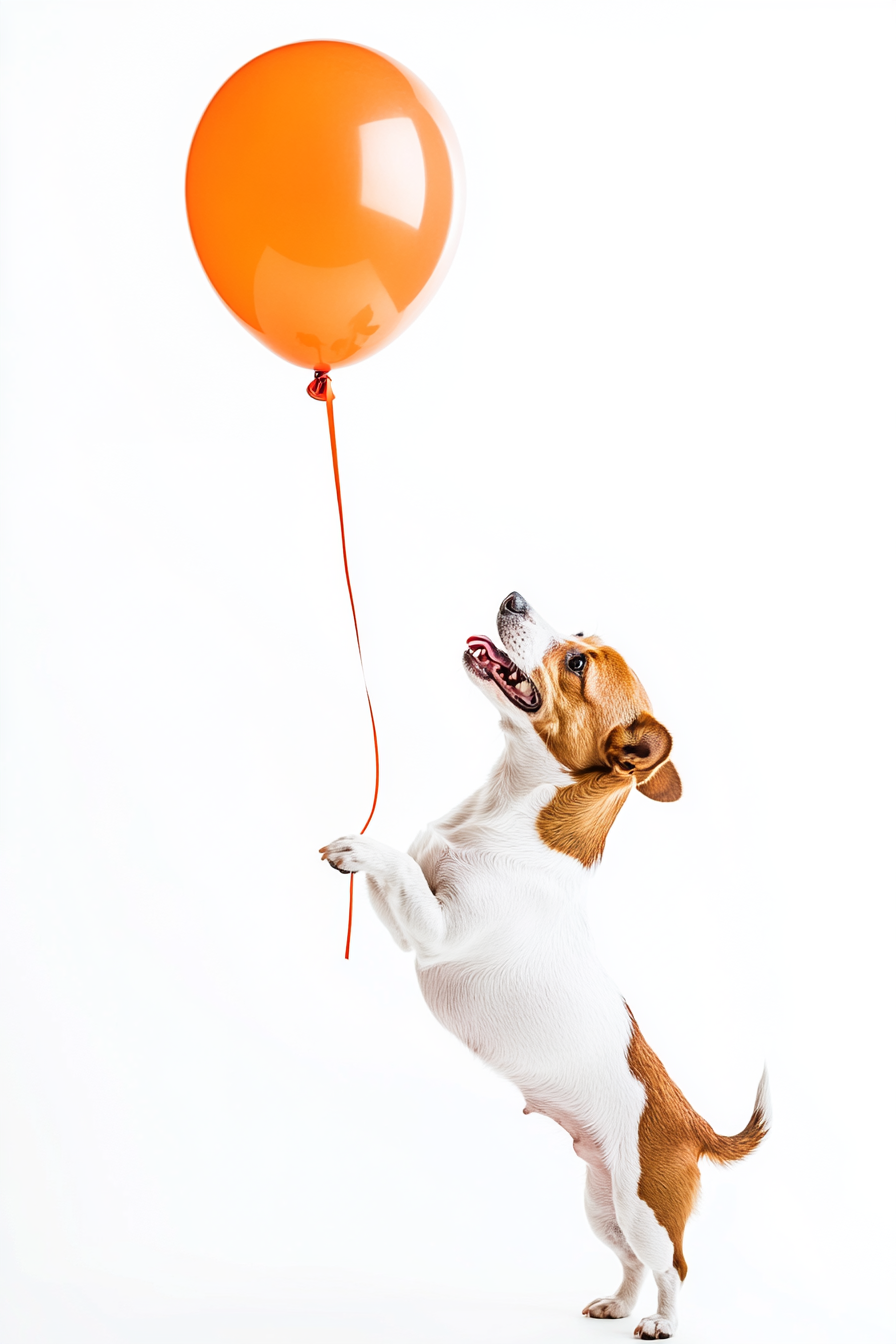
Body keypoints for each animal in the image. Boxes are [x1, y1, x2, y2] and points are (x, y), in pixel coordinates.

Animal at [322, 594, 773, 1338]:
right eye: (581, 634)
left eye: (578, 663)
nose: (514, 597)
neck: (504, 810)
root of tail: (695, 1127)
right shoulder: (411, 927)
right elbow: (407, 871)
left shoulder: (436, 930)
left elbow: (400, 870)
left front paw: (363, 846)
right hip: (602, 1204)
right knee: (631, 1263)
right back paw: (616, 1305)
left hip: (645, 1207)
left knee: (673, 1267)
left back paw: (661, 1322)